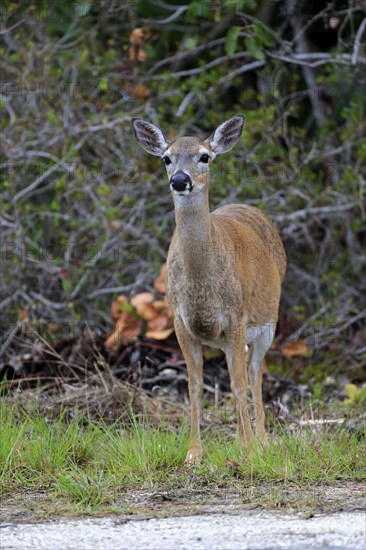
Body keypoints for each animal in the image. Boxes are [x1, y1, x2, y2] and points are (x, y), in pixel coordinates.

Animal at [132, 116, 286, 466]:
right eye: (166, 158)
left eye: (204, 156)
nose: (179, 180)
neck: (202, 288)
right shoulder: (180, 321)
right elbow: (194, 383)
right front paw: (193, 453)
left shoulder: (236, 316)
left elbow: (238, 383)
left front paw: (249, 450)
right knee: (240, 371)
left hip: (268, 322)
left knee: (253, 373)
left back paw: (262, 442)